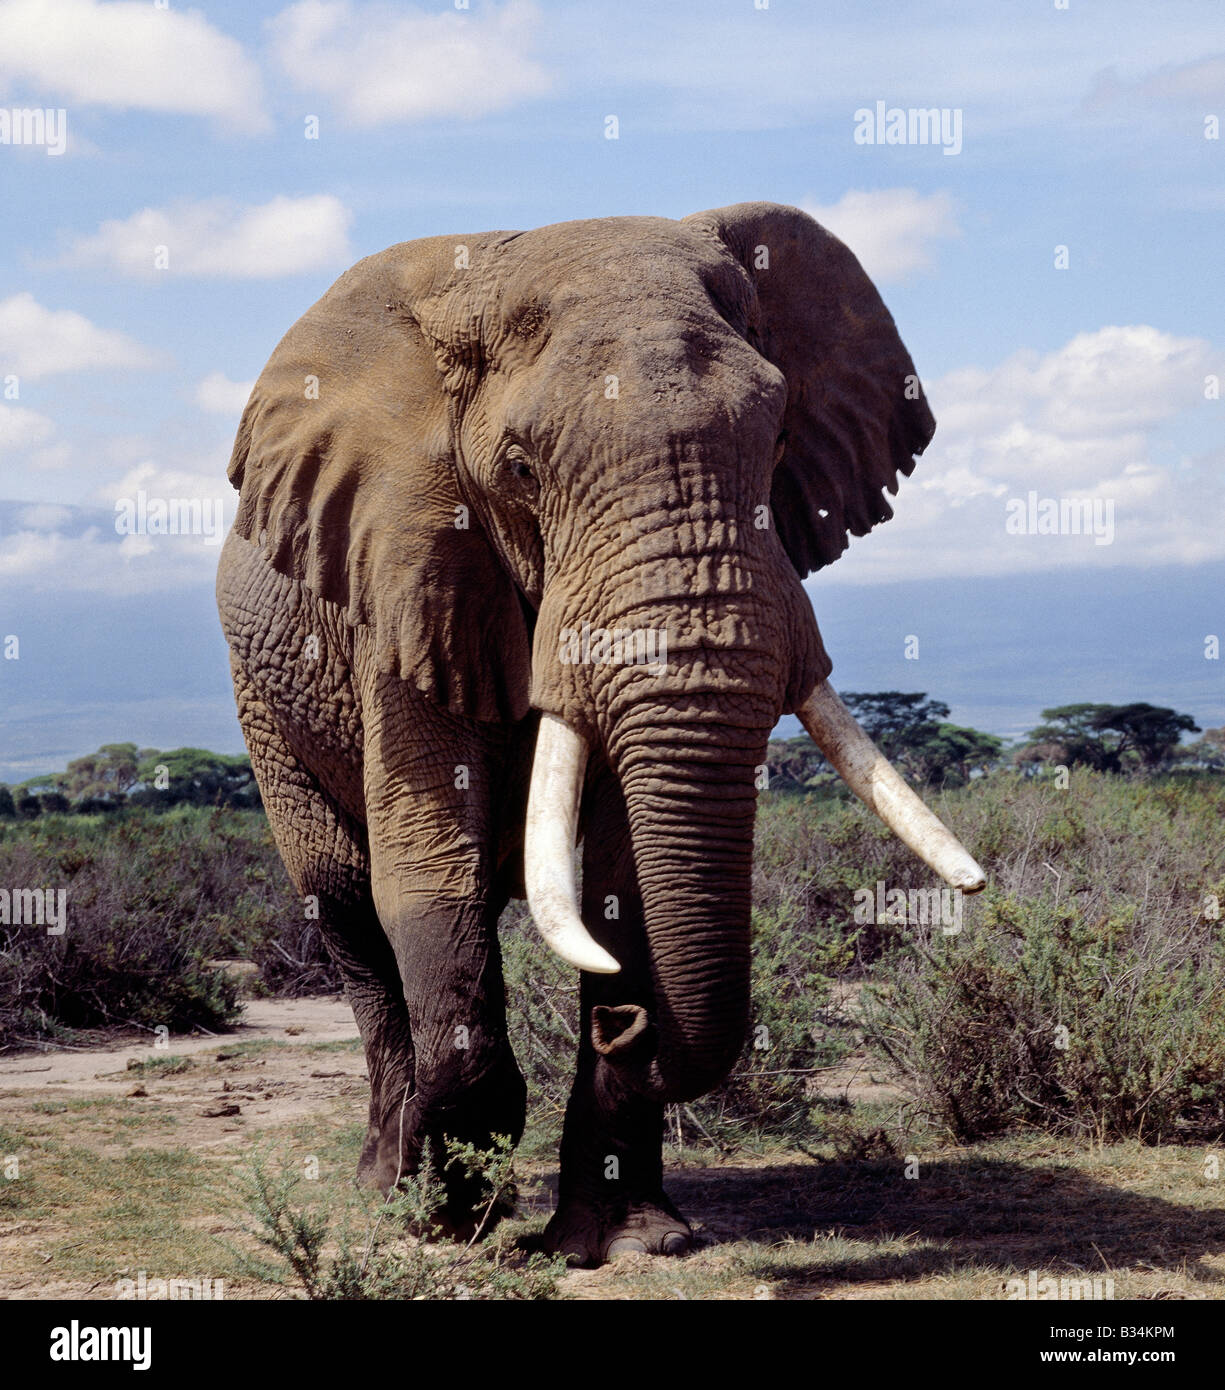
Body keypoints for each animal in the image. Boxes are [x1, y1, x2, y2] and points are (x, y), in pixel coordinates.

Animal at [216, 201, 984, 1267]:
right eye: (520, 471)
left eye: (778, 440)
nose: (627, 1016)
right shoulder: (407, 572)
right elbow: (428, 870)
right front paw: (449, 1222)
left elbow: (622, 879)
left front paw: (629, 1243)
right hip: (265, 701)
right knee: (345, 903)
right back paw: (387, 1184)